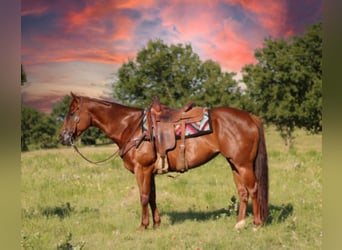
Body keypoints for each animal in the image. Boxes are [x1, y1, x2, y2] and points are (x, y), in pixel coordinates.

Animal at [58, 93, 268, 230]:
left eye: (71, 113)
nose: (62, 137)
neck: (131, 127)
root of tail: (250, 117)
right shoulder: (150, 172)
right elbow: (152, 197)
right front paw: (157, 225)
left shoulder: (141, 169)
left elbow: (143, 197)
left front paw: (143, 226)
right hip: (234, 164)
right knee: (242, 192)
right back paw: (239, 224)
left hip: (243, 165)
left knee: (254, 189)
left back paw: (257, 224)